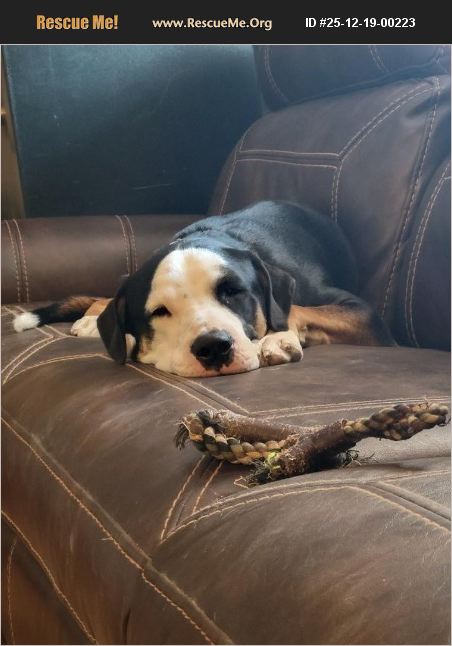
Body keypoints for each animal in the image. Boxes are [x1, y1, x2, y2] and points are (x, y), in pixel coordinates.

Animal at [14, 201, 395, 376]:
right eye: (160, 311)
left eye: (233, 292)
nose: (213, 348)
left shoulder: (363, 314)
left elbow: (296, 310)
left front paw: (278, 338)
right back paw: (93, 318)